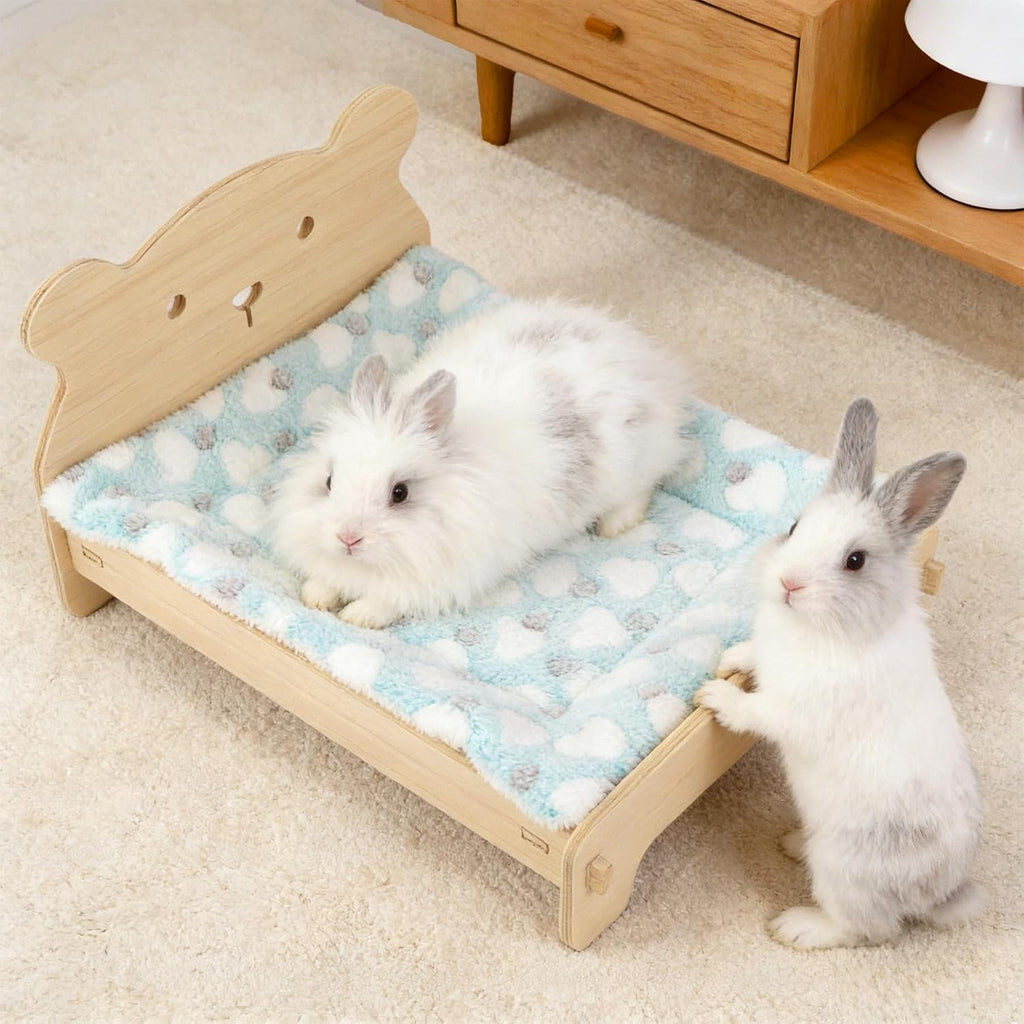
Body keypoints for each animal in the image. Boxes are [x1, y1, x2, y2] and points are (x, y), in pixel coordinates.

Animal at [271, 298, 693, 628]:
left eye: (400, 493)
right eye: (329, 481)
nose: (348, 538)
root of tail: (639, 357)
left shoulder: (437, 580)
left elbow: (388, 601)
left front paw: (358, 616)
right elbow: (324, 580)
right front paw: (316, 598)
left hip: (631, 465)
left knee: (644, 487)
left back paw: (615, 525)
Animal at [695, 397, 984, 950]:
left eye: (855, 560)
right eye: (794, 527)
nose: (789, 584)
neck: (823, 627)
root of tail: (939, 893)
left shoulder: (792, 709)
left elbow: (755, 712)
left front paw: (715, 694)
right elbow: (754, 656)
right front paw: (731, 660)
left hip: (844, 873)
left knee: (866, 929)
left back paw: (797, 926)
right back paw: (791, 842)